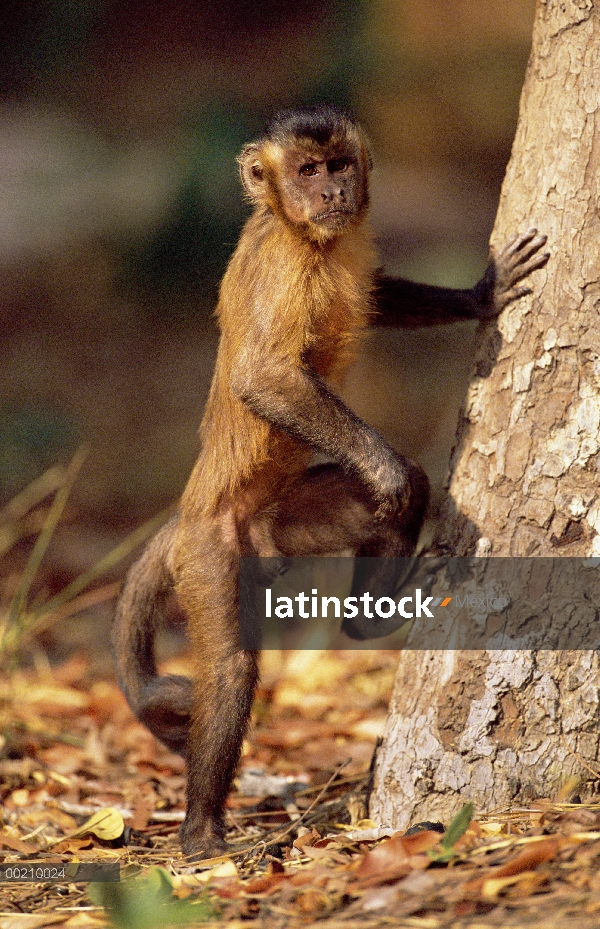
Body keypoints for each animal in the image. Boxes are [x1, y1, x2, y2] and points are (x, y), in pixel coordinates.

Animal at [111, 103, 548, 856]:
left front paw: (480, 295)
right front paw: (385, 465)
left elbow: (375, 294)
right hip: (208, 549)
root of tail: (189, 513)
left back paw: (366, 622)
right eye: (308, 170)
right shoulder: (285, 268)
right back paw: (201, 832)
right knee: (229, 669)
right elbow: (264, 379)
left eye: (339, 166)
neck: (304, 234)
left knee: (392, 503)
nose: (334, 191)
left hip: (279, 523)